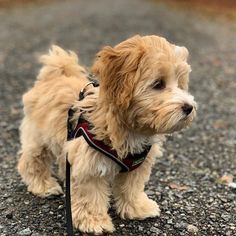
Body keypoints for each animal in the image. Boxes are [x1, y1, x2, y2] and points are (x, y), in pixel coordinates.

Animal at [17, 34, 196, 234]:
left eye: (180, 83)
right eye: (158, 84)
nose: (189, 107)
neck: (128, 126)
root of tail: (55, 76)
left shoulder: (137, 165)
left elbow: (132, 188)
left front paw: (137, 208)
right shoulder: (90, 164)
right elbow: (90, 195)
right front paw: (94, 221)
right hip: (38, 138)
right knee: (32, 161)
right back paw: (43, 185)